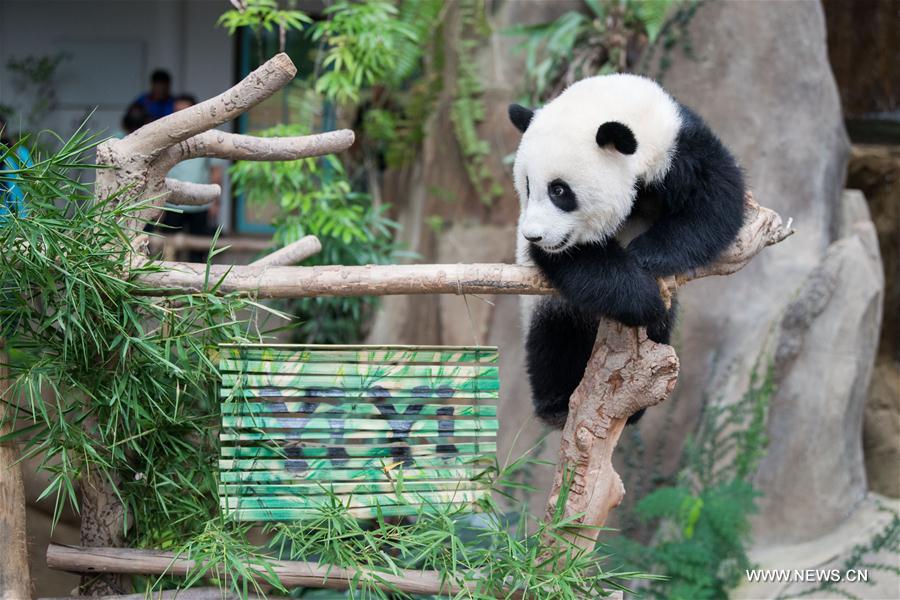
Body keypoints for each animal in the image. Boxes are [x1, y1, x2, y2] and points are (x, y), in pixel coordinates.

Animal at [509, 74, 746, 428]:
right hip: (550, 307)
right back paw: (557, 404)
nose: (534, 236)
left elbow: (717, 199)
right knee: (554, 340)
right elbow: (580, 261)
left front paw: (648, 254)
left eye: (559, 190)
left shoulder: (680, 147)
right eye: (526, 186)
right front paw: (640, 295)